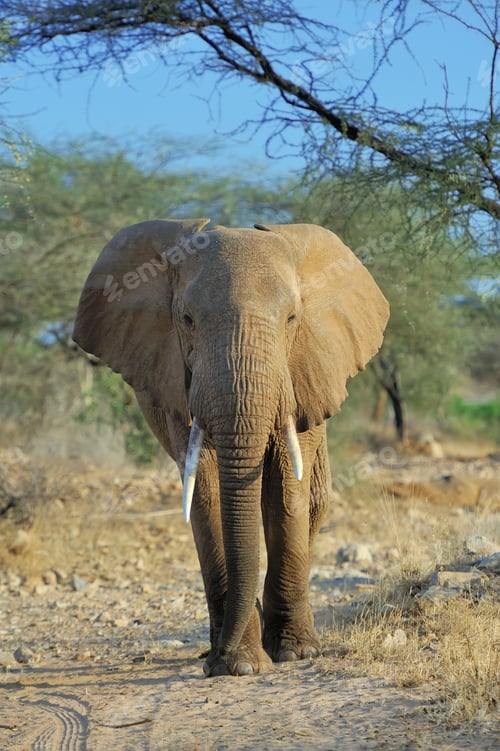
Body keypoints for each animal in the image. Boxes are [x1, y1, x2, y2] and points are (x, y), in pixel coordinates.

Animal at [73, 219, 389, 677]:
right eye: (186, 319)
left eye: (292, 318)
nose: (212, 661)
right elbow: (205, 486)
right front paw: (237, 665)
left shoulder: (303, 370)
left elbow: (285, 485)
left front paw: (295, 653)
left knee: (314, 500)